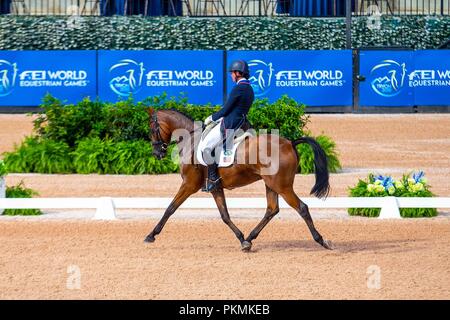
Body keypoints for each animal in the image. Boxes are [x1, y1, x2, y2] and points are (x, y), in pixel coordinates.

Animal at [145, 109, 334, 251]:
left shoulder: (189, 184)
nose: (157, 153)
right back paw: (250, 238)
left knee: (302, 208)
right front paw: (242, 239)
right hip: (271, 184)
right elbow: (225, 215)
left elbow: (170, 208)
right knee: (272, 209)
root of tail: (290, 143)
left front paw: (151, 235)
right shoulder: (215, 188)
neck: (191, 140)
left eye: (152, 129)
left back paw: (322, 240)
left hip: (283, 186)